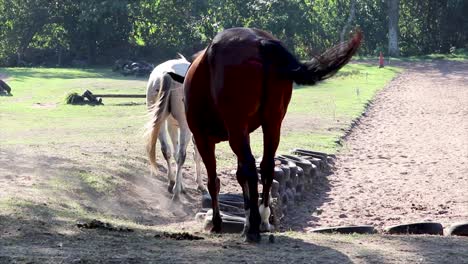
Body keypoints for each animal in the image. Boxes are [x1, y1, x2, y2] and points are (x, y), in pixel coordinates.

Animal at [179, 27, 362, 241]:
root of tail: (260, 41)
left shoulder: (204, 139)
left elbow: (214, 181)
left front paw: (218, 223)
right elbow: (240, 175)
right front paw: (247, 219)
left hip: (236, 128)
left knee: (251, 167)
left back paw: (253, 228)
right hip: (272, 123)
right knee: (266, 166)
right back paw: (263, 219)